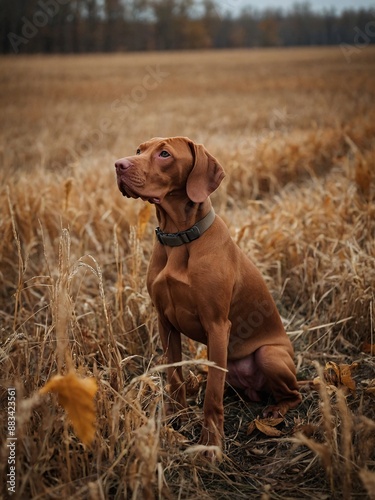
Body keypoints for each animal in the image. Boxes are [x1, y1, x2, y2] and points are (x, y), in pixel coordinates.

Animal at [114, 137, 302, 460]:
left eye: (165, 154)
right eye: (139, 150)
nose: (118, 165)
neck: (179, 237)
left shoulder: (217, 325)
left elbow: (212, 397)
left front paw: (211, 445)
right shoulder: (165, 322)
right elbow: (174, 377)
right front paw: (174, 422)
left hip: (270, 355)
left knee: (294, 393)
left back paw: (274, 413)